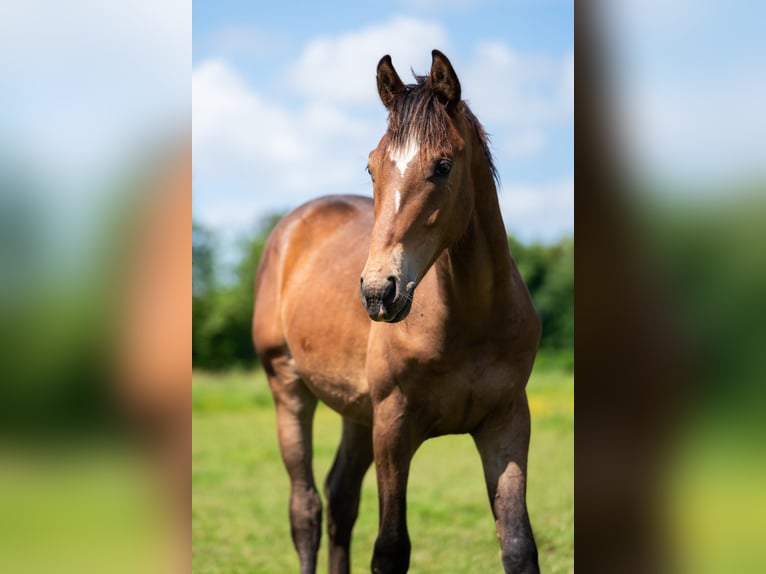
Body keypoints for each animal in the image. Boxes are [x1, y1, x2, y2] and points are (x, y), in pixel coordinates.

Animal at [252, 50, 540, 574]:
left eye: (443, 165)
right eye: (371, 168)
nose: (377, 292)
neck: (469, 323)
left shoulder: (507, 423)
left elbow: (517, 545)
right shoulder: (394, 425)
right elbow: (389, 549)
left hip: (356, 411)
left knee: (340, 497)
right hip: (288, 387)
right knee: (305, 508)